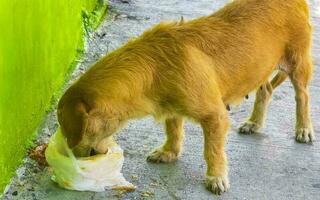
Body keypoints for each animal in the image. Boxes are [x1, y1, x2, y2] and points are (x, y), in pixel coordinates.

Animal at [56, 0, 314, 195]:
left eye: (70, 131)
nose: (74, 158)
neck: (153, 66)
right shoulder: (171, 107)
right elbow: (173, 130)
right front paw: (169, 152)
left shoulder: (215, 116)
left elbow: (212, 150)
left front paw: (215, 176)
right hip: (259, 69)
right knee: (265, 90)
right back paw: (254, 123)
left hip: (298, 63)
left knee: (302, 95)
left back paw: (303, 128)